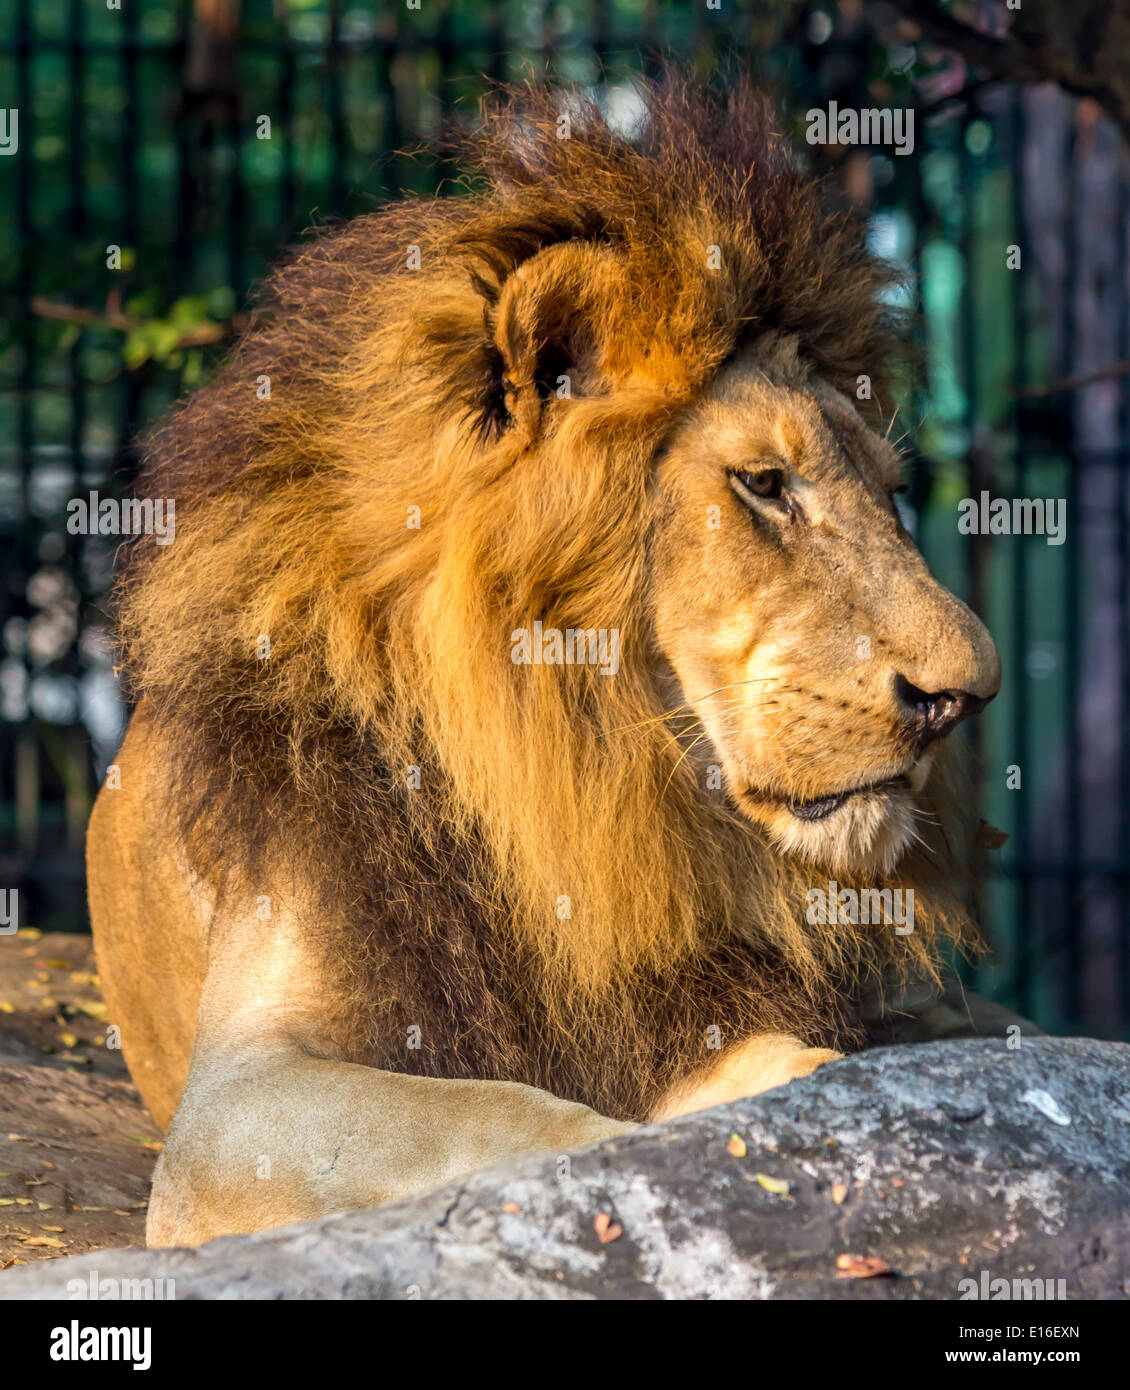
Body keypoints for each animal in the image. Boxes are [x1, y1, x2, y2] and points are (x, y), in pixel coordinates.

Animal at [88, 77, 1011, 1247]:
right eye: (763, 484)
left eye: (890, 493)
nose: (964, 697)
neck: (582, 777)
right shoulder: (235, 1100)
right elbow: (497, 1115)